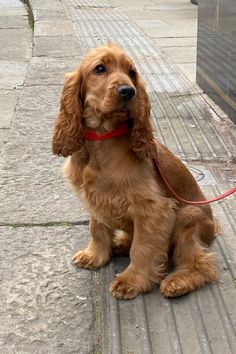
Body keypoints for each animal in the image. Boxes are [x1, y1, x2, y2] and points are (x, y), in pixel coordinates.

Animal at [51, 43, 218, 298]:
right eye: (100, 68)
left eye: (132, 72)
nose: (128, 91)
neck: (103, 139)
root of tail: (213, 228)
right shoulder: (95, 198)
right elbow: (96, 228)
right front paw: (94, 255)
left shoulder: (153, 209)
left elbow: (142, 247)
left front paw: (131, 280)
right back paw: (119, 244)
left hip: (188, 218)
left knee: (202, 262)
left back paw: (178, 281)